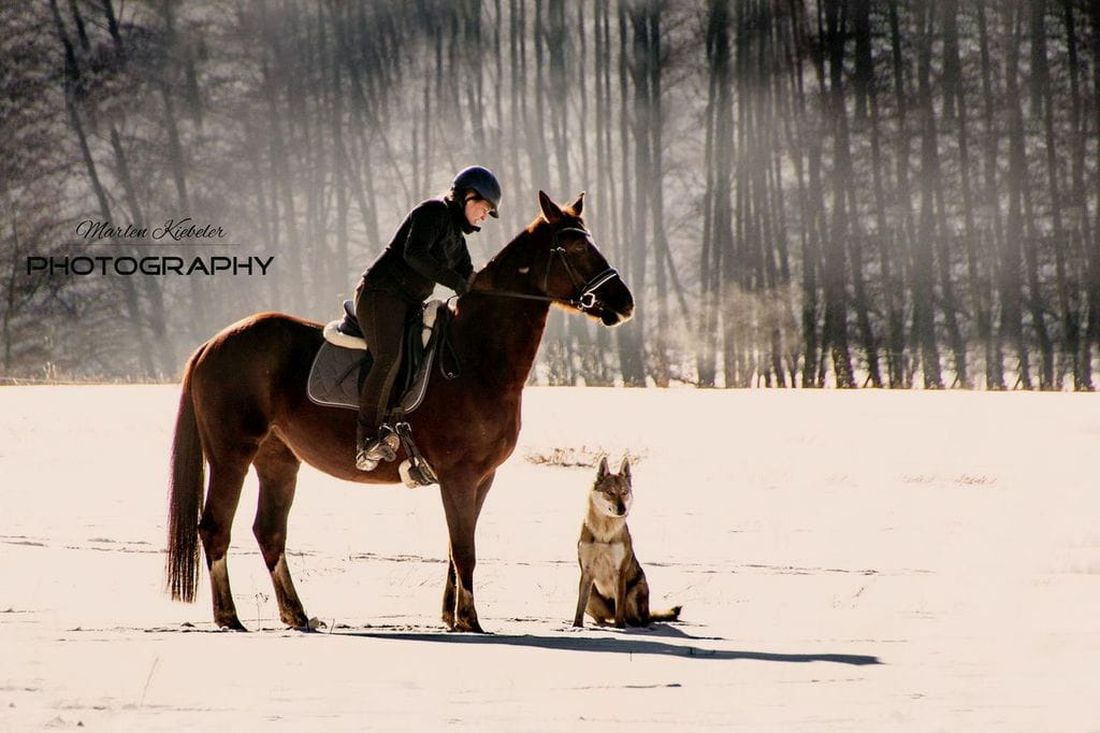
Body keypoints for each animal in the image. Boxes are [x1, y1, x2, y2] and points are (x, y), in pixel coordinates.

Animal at [159, 191, 633, 629]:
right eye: (573, 247)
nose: (624, 302)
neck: (474, 355)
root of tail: (213, 343)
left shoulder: (481, 478)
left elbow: (455, 548)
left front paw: (452, 617)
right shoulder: (459, 475)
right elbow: (465, 551)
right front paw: (470, 621)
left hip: (278, 460)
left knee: (269, 532)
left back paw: (296, 614)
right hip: (231, 454)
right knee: (215, 527)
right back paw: (229, 616)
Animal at [576, 453, 677, 625]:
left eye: (624, 492)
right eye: (610, 492)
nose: (622, 509)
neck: (604, 533)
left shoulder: (619, 571)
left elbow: (619, 610)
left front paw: (619, 628)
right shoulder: (587, 571)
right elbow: (578, 610)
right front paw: (576, 626)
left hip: (633, 593)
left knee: (635, 619)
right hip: (592, 595)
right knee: (602, 618)